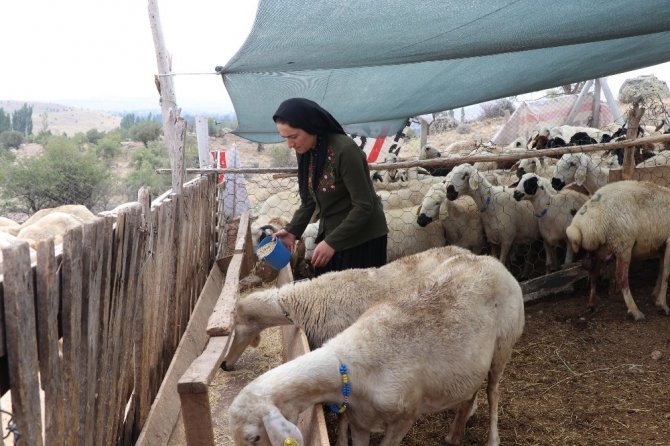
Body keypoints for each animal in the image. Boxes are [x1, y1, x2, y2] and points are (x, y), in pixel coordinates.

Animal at [568, 179, 670, 318]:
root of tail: (580, 223)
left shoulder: (661, 245)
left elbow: (661, 270)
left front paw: (655, 296)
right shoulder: (669, 242)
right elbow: (666, 274)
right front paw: (662, 305)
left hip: (599, 250)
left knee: (594, 274)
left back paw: (591, 305)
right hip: (622, 245)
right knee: (621, 278)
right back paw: (635, 311)